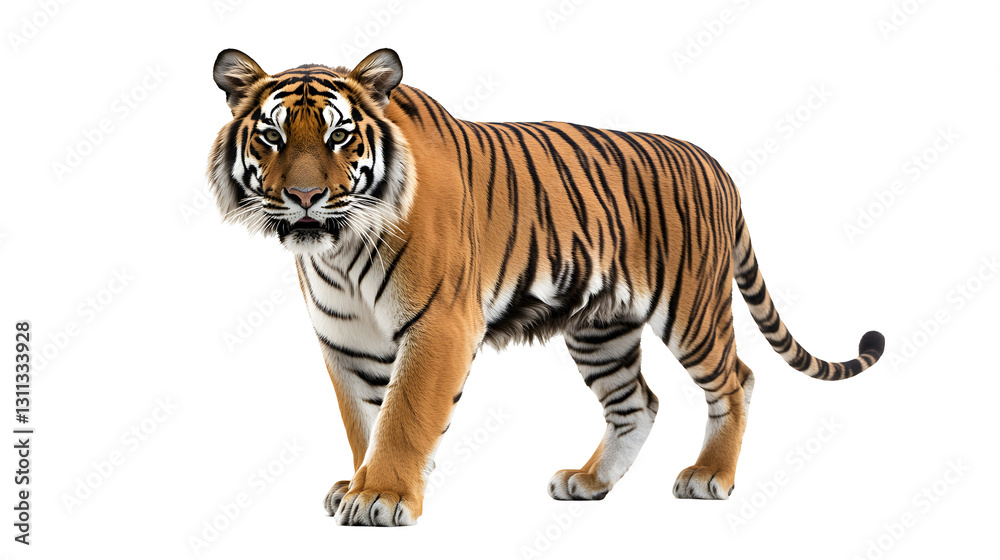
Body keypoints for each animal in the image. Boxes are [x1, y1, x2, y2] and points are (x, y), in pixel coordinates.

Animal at [208, 47, 884, 526]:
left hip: (692, 310)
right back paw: (591, 483)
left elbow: (403, 414)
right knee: (637, 402)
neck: (339, 250)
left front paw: (382, 497)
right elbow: (365, 421)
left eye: (339, 136)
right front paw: (360, 483)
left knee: (736, 380)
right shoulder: (347, 342)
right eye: (271, 136)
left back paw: (709, 476)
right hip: (602, 329)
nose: (305, 196)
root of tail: (716, 166)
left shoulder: (439, 325)